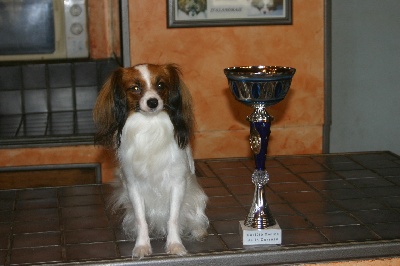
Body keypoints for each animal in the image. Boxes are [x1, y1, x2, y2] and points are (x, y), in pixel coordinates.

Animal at [92, 63, 208, 258]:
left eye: (161, 85)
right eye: (135, 88)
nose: (153, 102)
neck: (150, 125)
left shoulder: (178, 183)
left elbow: (173, 218)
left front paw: (175, 245)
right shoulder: (133, 187)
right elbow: (141, 220)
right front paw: (142, 246)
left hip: (195, 197)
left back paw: (198, 231)